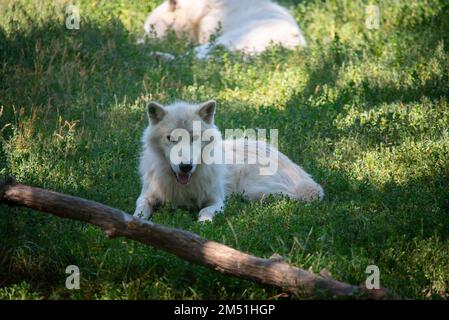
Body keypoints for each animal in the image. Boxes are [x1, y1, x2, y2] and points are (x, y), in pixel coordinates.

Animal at [133, 100, 322, 222]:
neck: (183, 187)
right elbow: (139, 210)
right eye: (170, 138)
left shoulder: (217, 201)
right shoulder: (146, 196)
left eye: (194, 137)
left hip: (254, 191)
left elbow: (205, 212)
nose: (185, 167)